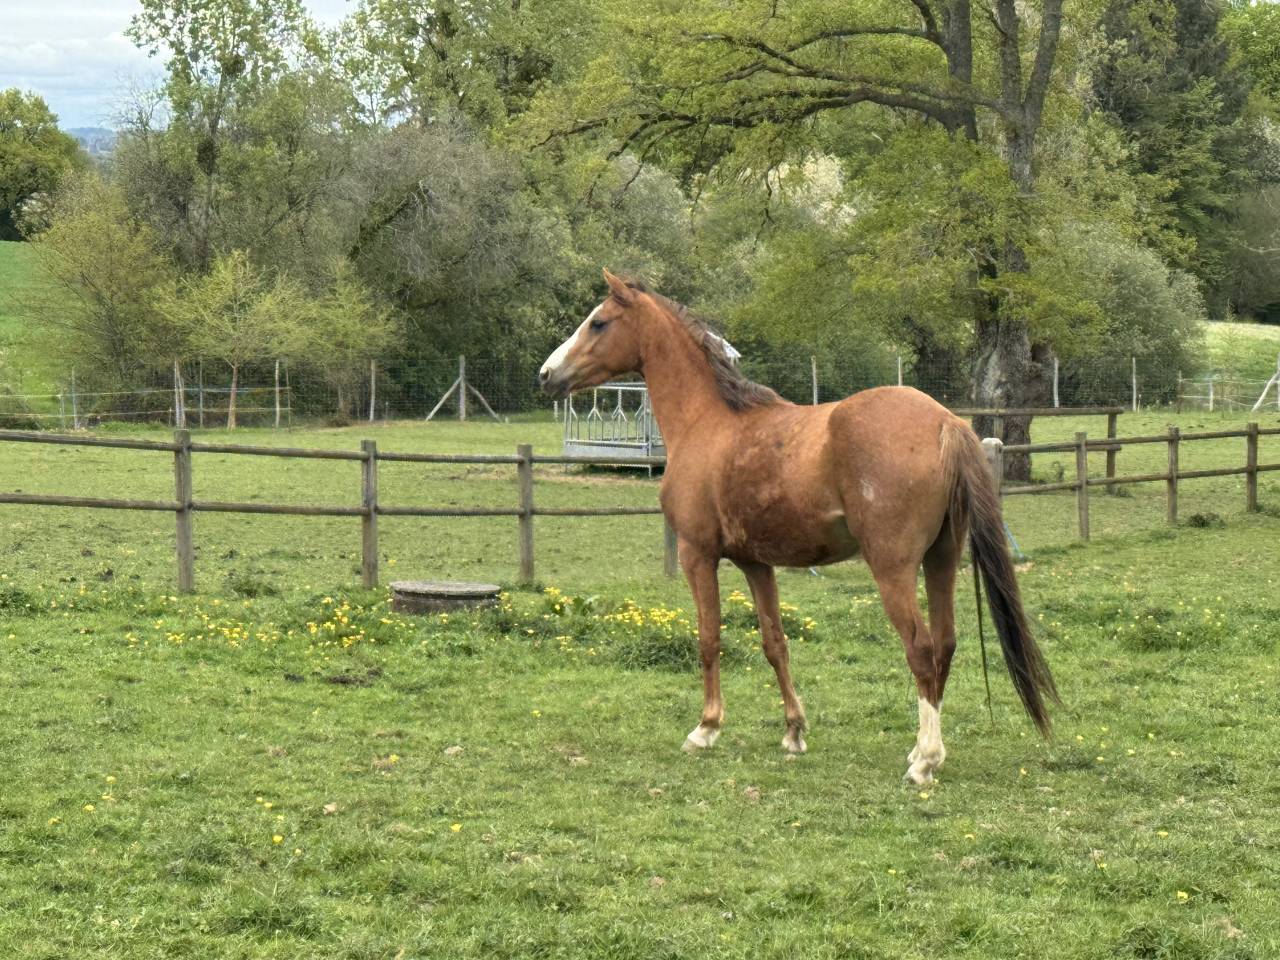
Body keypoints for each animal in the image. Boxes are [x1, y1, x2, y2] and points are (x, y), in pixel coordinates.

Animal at [539, 269, 1057, 784]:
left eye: (599, 322)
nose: (547, 374)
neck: (707, 421)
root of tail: (945, 422)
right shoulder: (755, 563)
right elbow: (775, 643)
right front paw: (794, 731)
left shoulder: (697, 555)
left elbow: (709, 638)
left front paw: (706, 728)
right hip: (942, 559)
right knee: (945, 643)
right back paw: (920, 750)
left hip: (893, 568)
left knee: (922, 648)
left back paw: (924, 760)